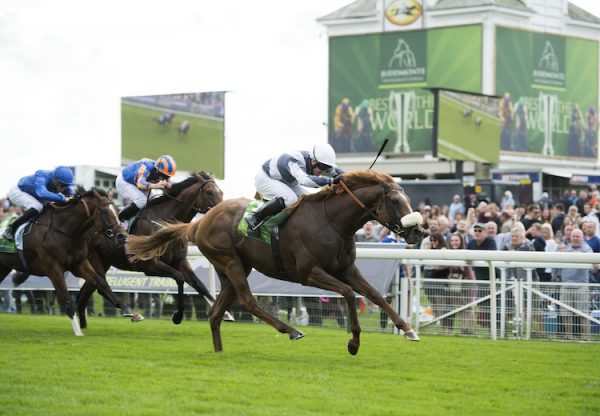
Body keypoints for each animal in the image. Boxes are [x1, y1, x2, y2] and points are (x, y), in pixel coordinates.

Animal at [0, 188, 131, 334]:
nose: (122, 236)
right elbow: (68, 300)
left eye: (117, 211)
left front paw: (129, 312)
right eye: (104, 212)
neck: (63, 231)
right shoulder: (54, 269)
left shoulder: (79, 264)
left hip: (4, 267)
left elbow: (101, 283)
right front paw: (78, 333)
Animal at [75, 170, 225, 328]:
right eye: (209, 192)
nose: (222, 211)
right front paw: (177, 316)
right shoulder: (149, 265)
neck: (164, 222)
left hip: (104, 262)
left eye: (221, 192)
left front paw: (225, 313)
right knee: (99, 286)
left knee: (85, 293)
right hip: (95, 260)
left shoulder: (180, 261)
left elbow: (199, 285)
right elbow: (179, 277)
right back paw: (130, 313)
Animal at [127, 169, 426, 354]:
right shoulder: (309, 272)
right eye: (396, 201)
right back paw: (291, 330)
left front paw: (408, 329)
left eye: (408, 198)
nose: (419, 232)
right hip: (230, 261)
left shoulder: (347, 268)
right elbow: (349, 294)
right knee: (247, 301)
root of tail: (200, 222)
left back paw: (219, 351)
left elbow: (375, 294)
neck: (332, 220)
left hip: (233, 267)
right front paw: (353, 342)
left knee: (215, 313)